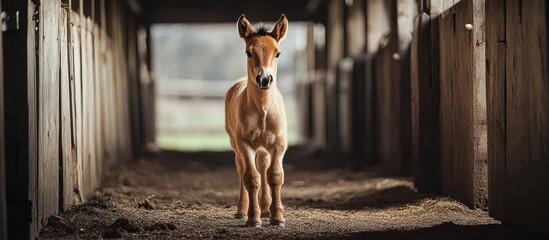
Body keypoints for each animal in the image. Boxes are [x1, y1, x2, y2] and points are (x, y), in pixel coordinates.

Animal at [225, 14, 288, 228]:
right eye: (248, 52)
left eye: (278, 53)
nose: (264, 79)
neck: (263, 111)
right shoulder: (245, 144)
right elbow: (251, 178)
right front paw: (253, 218)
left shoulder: (279, 144)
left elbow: (274, 175)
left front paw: (277, 217)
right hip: (236, 145)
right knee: (242, 169)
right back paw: (242, 210)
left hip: (264, 147)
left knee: (263, 167)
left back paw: (267, 208)